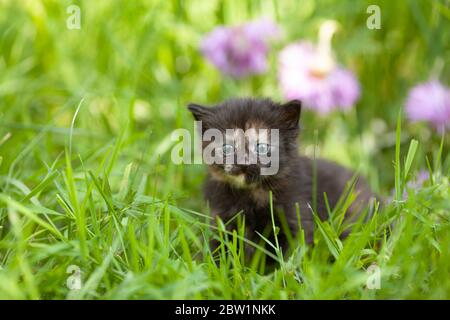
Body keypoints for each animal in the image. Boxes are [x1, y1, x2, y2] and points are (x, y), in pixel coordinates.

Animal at [188, 99, 374, 249]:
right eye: (227, 148)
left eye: (262, 148)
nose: (243, 164)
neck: (252, 194)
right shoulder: (219, 219)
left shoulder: (296, 217)